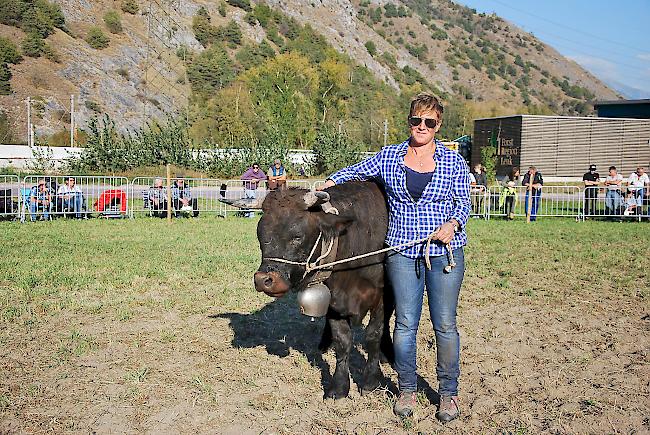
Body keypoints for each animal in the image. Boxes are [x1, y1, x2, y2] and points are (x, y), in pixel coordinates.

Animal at [253, 182, 392, 400]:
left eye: (297, 236)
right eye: (260, 234)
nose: (264, 281)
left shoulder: (380, 297)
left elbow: (373, 335)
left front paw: (371, 379)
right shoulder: (334, 300)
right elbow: (342, 340)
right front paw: (339, 386)